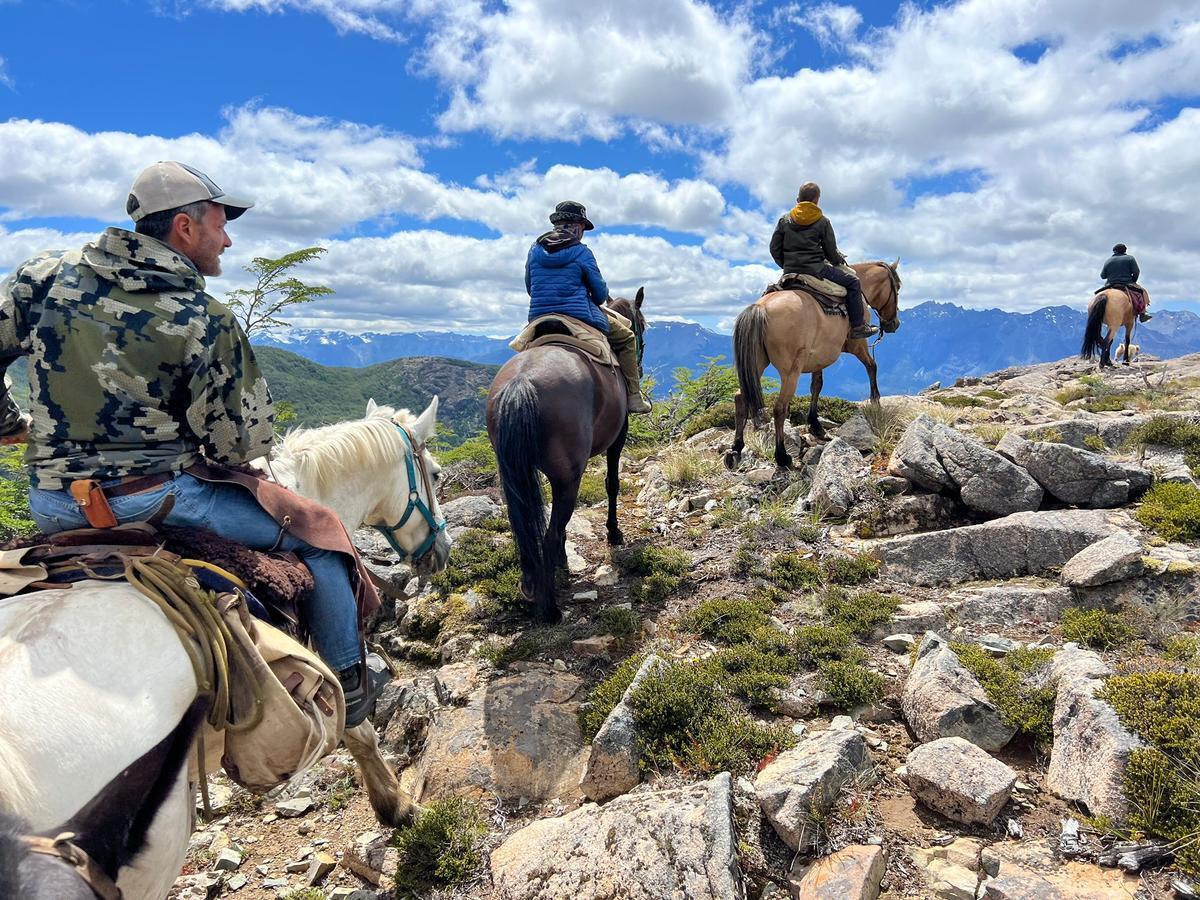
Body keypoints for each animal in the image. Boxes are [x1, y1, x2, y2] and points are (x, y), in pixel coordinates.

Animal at [487, 292, 648, 624]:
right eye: (641, 325)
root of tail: (521, 382)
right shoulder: (618, 437)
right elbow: (612, 484)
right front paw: (614, 533)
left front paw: (563, 562)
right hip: (569, 478)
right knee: (548, 535)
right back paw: (550, 609)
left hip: (516, 476)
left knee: (526, 529)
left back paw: (532, 587)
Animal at [720, 260, 902, 472]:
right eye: (897, 287)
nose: (894, 324)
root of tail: (760, 308)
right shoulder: (858, 344)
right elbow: (872, 366)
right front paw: (875, 401)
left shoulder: (818, 358)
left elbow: (817, 385)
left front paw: (815, 425)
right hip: (791, 371)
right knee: (780, 408)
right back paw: (782, 457)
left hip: (757, 364)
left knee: (740, 398)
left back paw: (735, 450)